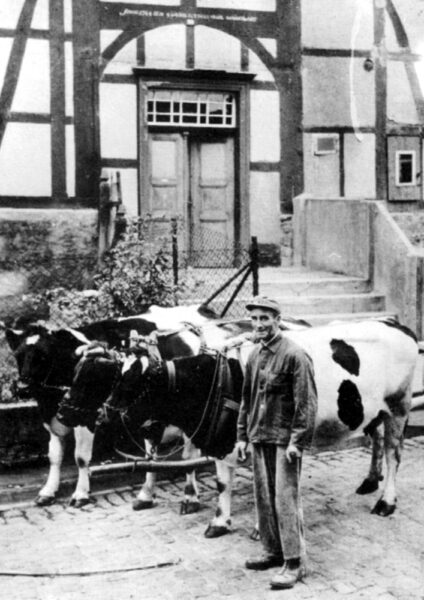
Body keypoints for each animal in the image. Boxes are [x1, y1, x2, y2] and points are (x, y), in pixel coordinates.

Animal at [98, 318, 418, 540]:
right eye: (115, 376)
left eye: (138, 383)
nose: (104, 416)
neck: (221, 378)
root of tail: (396, 324)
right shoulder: (221, 440)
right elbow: (222, 483)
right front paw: (219, 522)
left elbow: (264, 488)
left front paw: (258, 528)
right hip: (374, 410)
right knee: (376, 438)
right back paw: (369, 481)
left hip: (398, 406)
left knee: (393, 454)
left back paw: (386, 501)